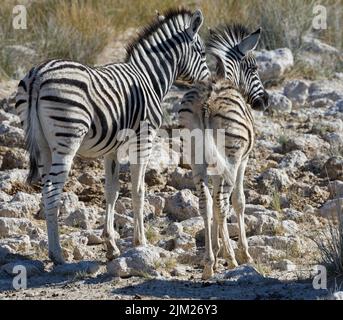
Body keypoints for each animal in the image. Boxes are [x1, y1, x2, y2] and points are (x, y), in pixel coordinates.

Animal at [15, 9, 210, 264]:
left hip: (43, 145)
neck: (150, 78)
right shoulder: (144, 140)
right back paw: (57, 254)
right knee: (51, 193)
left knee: (46, 190)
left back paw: (54, 250)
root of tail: (37, 75)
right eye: (203, 53)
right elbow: (138, 190)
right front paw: (140, 242)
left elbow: (112, 192)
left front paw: (111, 245)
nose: (210, 85)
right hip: (67, 139)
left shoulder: (111, 149)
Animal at [179, 23, 270, 278]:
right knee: (221, 203)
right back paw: (232, 259)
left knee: (205, 204)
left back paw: (209, 264)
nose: (265, 101)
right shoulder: (243, 160)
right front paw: (242, 253)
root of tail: (208, 99)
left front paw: (217, 249)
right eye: (254, 67)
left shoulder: (213, 166)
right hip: (231, 157)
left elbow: (214, 203)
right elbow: (238, 201)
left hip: (196, 158)